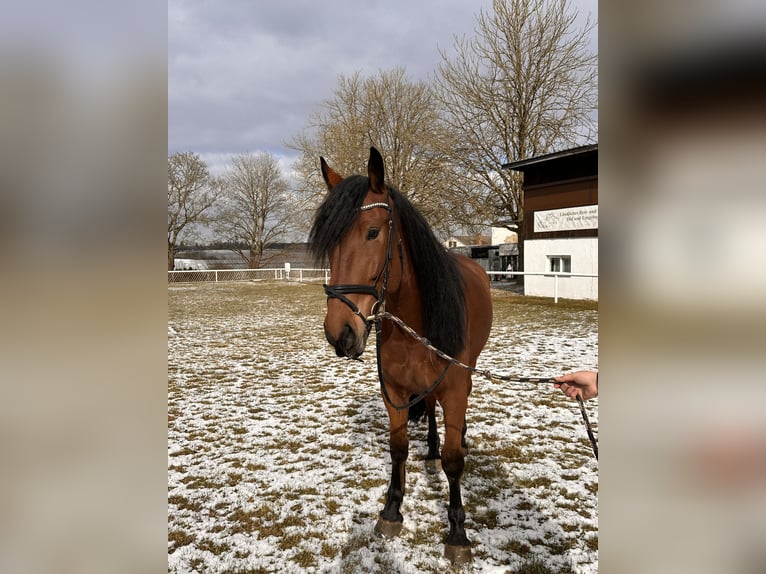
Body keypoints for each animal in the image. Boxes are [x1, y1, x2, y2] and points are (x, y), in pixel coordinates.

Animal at [308, 146, 496, 564]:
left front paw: (458, 533)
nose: (340, 332)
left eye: (373, 232)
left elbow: (454, 461)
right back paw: (430, 448)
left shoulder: (454, 389)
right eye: (329, 243)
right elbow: (398, 449)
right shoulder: (393, 390)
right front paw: (392, 510)